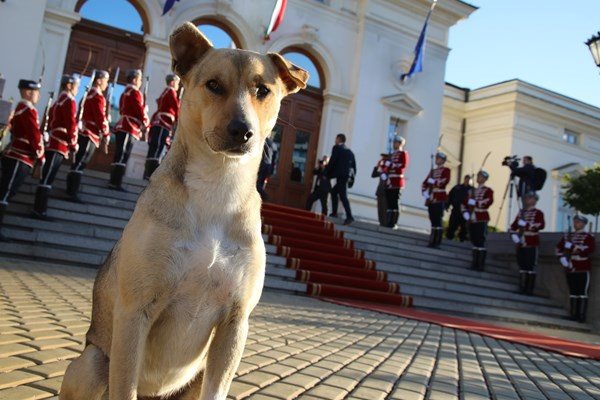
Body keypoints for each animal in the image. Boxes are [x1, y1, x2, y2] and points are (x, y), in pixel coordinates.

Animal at [59, 22, 310, 400]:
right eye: (214, 85)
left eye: (263, 90)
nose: (242, 130)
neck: (217, 185)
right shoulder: (134, 313)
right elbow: (124, 385)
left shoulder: (235, 323)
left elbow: (216, 389)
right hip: (92, 362)